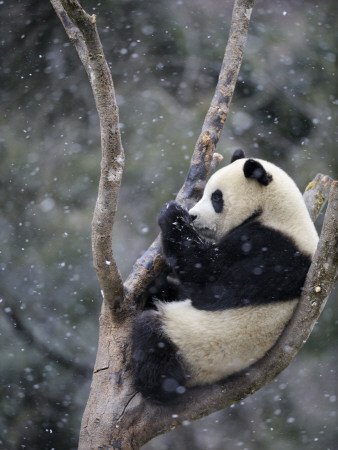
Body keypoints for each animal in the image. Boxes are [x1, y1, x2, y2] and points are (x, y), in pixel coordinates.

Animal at [132, 149, 320, 402]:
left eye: (216, 198)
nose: (193, 216)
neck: (276, 212)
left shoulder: (270, 252)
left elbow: (209, 280)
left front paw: (173, 214)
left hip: (194, 347)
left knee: (153, 334)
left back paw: (153, 384)